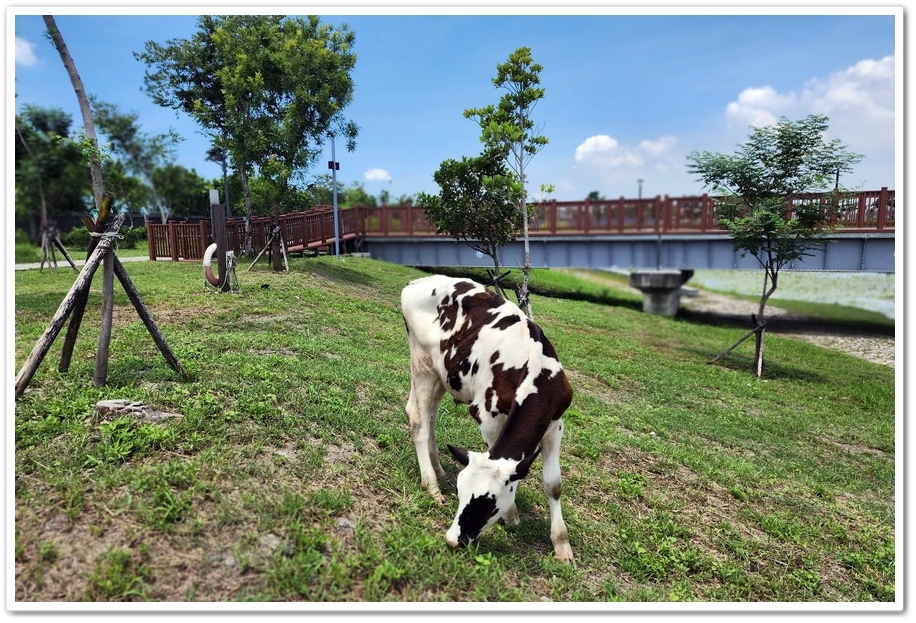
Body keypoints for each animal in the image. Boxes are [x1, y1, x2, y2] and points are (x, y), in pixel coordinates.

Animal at [400, 276, 572, 564]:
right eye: (460, 494)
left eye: (487, 503)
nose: (452, 540)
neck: (534, 374)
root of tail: (418, 281)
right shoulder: (487, 417)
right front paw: (512, 516)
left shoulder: (555, 424)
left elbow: (553, 484)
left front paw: (562, 545)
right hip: (422, 362)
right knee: (418, 417)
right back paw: (431, 484)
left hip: (443, 373)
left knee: (430, 415)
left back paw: (438, 468)